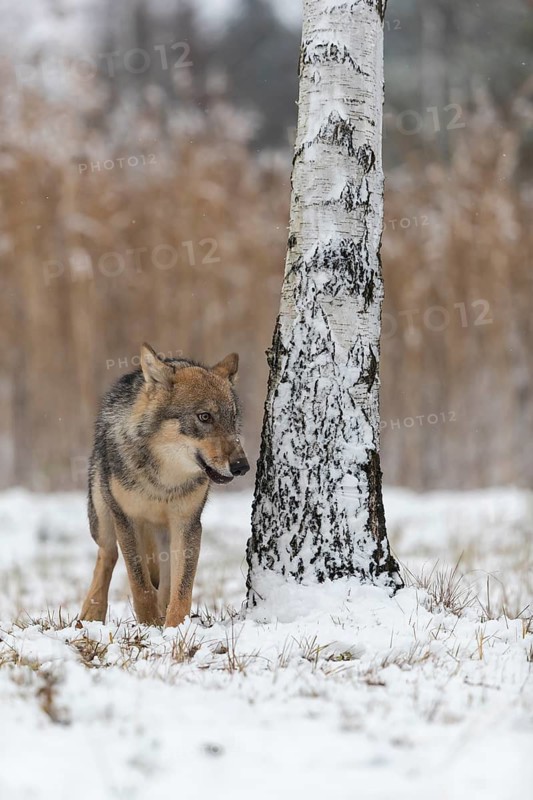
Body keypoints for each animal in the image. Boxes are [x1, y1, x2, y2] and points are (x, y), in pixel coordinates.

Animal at [80, 343, 249, 627]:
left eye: (233, 418)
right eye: (205, 417)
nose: (242, 466)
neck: (162, 482)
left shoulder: (187, 524)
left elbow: (181, 589)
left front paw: (174, 628)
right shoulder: (126, 519)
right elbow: (140, 585)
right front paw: (149, 624)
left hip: (164, 535)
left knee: (165, 581)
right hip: (103, 517)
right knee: (107, 555)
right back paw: (91, 613)